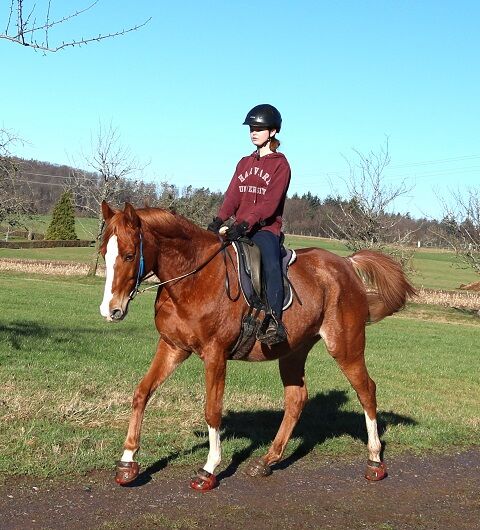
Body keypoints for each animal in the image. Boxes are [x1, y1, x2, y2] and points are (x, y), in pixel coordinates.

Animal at [99, 200, 414, 488]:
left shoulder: (215, 354)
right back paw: (267, 460)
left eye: (129, 255)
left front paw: (209, 468)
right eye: (104, 253)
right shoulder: (172, 347)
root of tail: (346, 264)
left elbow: (212, 410)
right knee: (296, 398)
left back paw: (375, 461)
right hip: (293, 351)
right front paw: (127, 463)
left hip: (345, 346)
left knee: (366, 390)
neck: (194, 278)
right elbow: (142, 393)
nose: (110, 310)